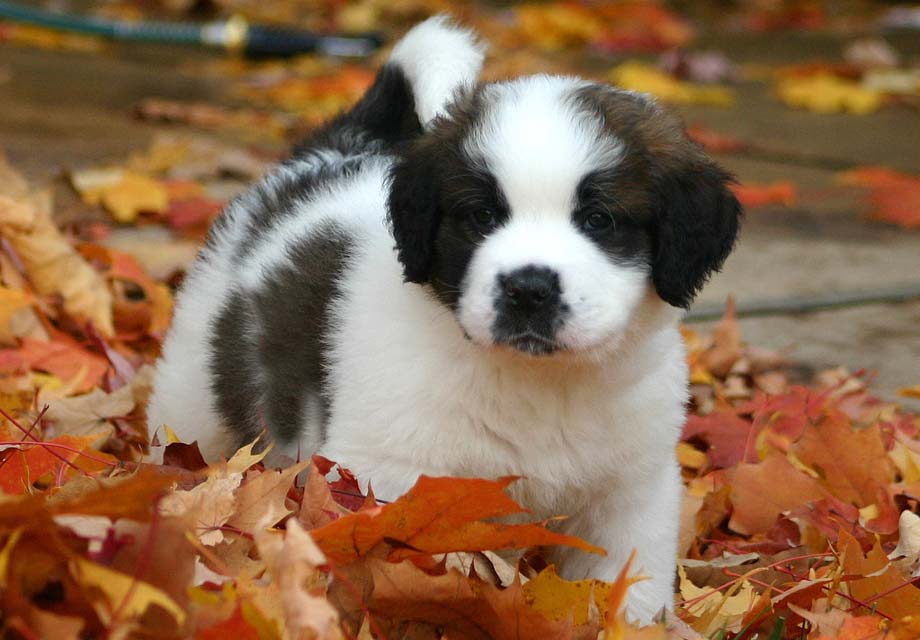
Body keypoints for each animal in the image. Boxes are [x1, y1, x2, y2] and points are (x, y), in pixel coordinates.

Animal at [147, 16, 744, 624]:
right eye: (481, 215)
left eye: (599, 220)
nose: (528, 289)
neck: (539, 383)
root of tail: (326, 155)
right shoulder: (387, 476)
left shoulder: (631, 491)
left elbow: (625, 585)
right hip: (193, 390)